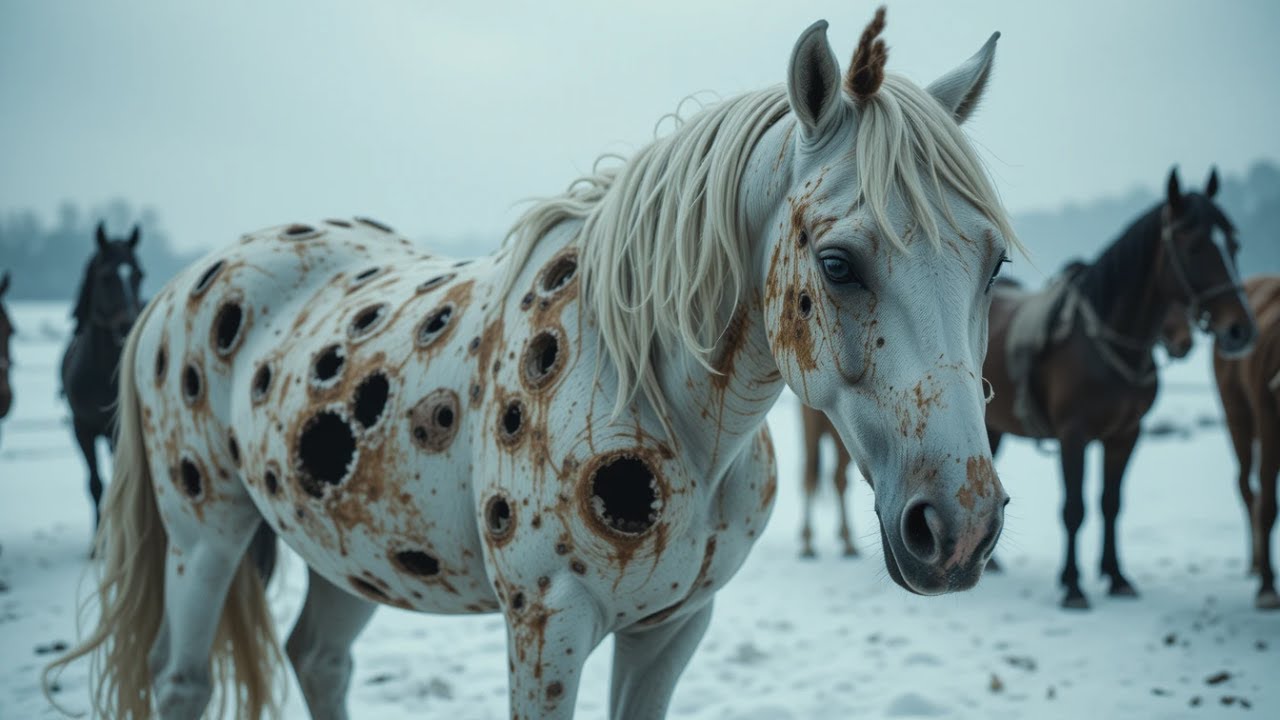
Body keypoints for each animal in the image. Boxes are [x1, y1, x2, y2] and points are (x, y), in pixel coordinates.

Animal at [60, 222, 145, 528]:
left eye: (139, 274)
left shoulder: (119, 432)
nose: (127, 326)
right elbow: (95, 483)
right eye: (106, 277)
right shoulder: (81, 427)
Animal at [983, 168, 1255, 609]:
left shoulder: (1126, 435)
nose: (1240, 330)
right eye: (1195, 246)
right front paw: (1073, 585)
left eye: (1234, 244)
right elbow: (1074, 508)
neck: (1104, 343)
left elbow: (1111, 504)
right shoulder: (1073, 436)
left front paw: (1116, 576)